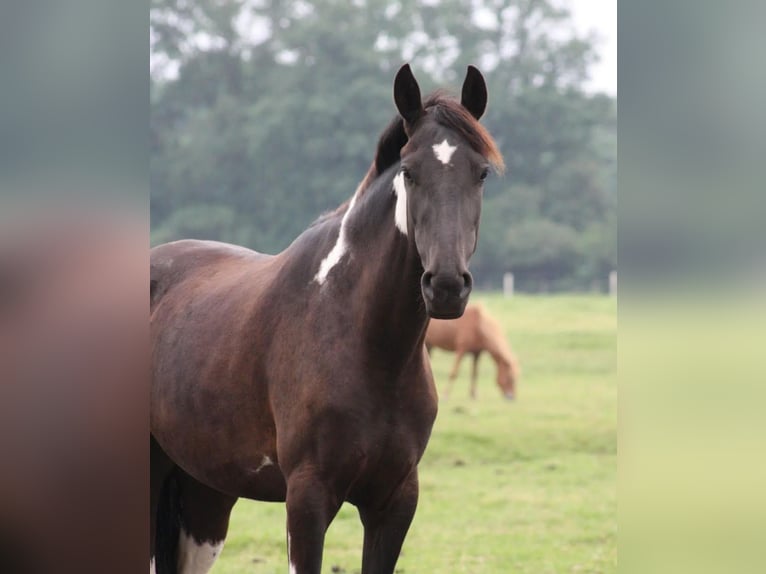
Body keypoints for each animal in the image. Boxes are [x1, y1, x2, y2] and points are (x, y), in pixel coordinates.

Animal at [150, 63, 503, 574]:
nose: (446, 285)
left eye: (480, 173)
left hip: (204, 498)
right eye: (409, 172)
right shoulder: (307, 499)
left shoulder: (394, 501)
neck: (368, 345)